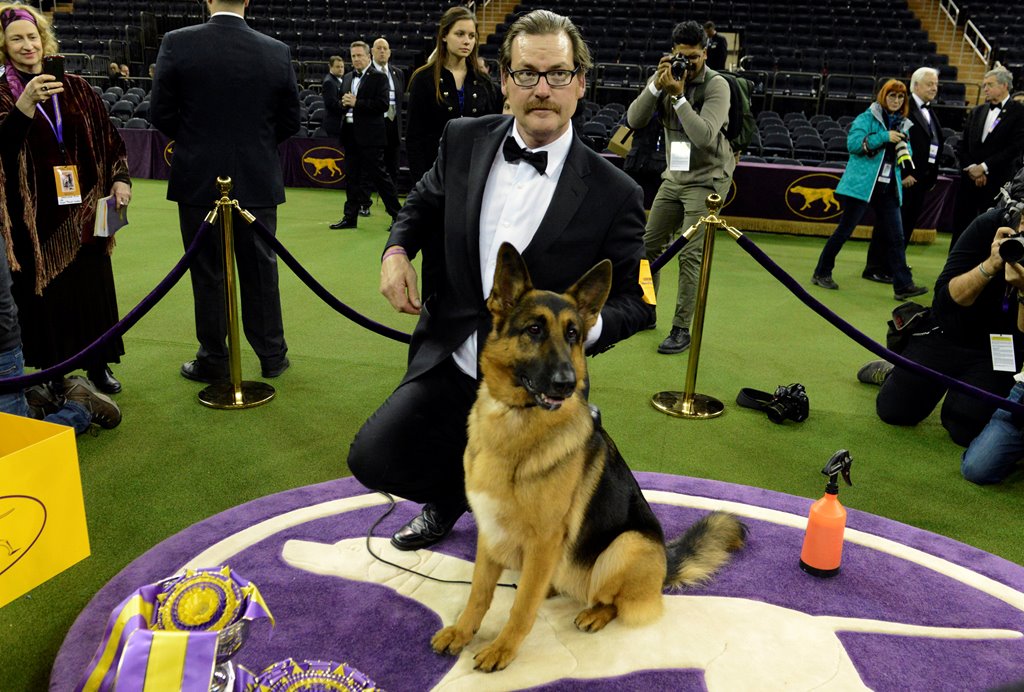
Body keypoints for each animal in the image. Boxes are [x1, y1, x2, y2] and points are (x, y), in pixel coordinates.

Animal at [428, 243, 749, 671]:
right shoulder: (490, 532)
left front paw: (503, 648)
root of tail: (666, 562)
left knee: (613, 601)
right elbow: (479, 592)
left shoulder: (545, 540)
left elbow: (521, 607)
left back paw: (594, 612)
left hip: (625, 546)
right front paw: (463, 632)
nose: (566, 384)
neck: (516, 422)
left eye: (573, 335)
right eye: (534, 329)